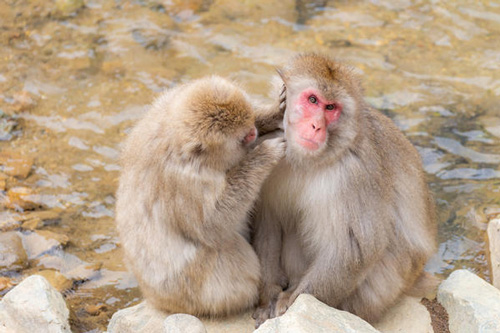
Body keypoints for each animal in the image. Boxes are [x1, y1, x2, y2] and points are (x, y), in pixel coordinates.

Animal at [114, 76, 286, 316]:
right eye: (244, 138)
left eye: (251, 123)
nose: (254, 132)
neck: (173, 136)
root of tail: (154, 299)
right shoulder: (184, 181)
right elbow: (211, 225)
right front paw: (264, 155)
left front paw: (273, 113)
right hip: (194, 292)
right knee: (227, 247)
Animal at [252, 53, 436, 326]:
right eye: (313, 100)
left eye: (331, 108)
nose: (316, 126)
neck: (310, 159)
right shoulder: (269, 144)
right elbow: (268, 223)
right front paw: (268, 297)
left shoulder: (355, 172)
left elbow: (355, 249)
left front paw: (290, 302)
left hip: (383, 288)